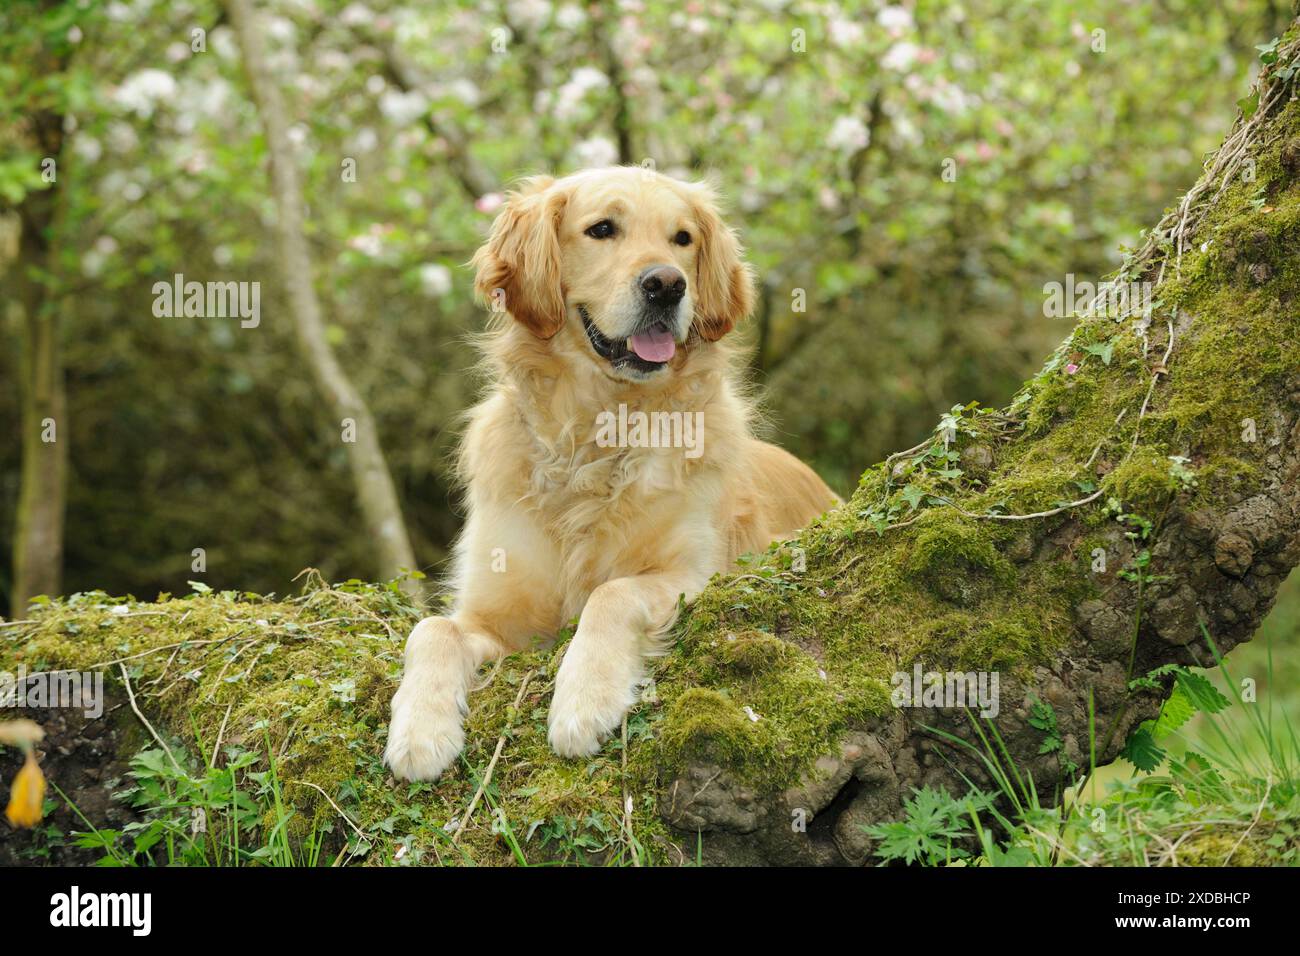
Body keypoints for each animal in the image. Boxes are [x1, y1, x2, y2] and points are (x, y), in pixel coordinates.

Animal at [379, 164, 837, 780]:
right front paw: (420, 729)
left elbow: (612, 592)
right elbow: (431, 629)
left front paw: (583, 700)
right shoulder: (495, 618)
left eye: (682, 238)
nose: (667, 284)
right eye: (601, 229)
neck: (597, 436)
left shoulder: (701, 571)